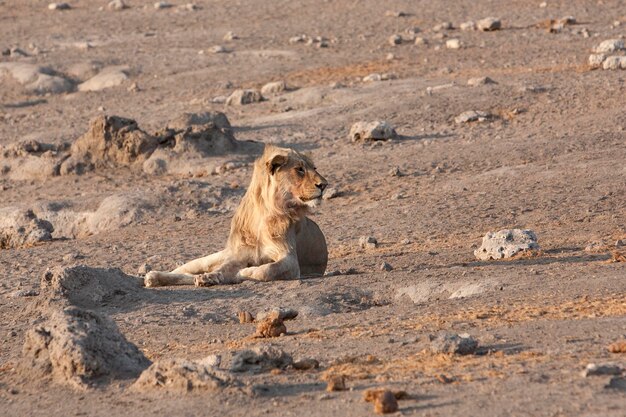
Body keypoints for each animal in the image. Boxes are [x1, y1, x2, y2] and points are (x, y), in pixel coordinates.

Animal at [142, 143, 326, 286]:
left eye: (314, 168)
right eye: (299, 169)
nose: (324, 184)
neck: (264, 211)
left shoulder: (290, 259)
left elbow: (265, 270)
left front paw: (241, 273)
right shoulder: (240, 254)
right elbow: (226, 268)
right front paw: (214, 276)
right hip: (208, 258)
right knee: (187, 271)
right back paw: (153, 276)